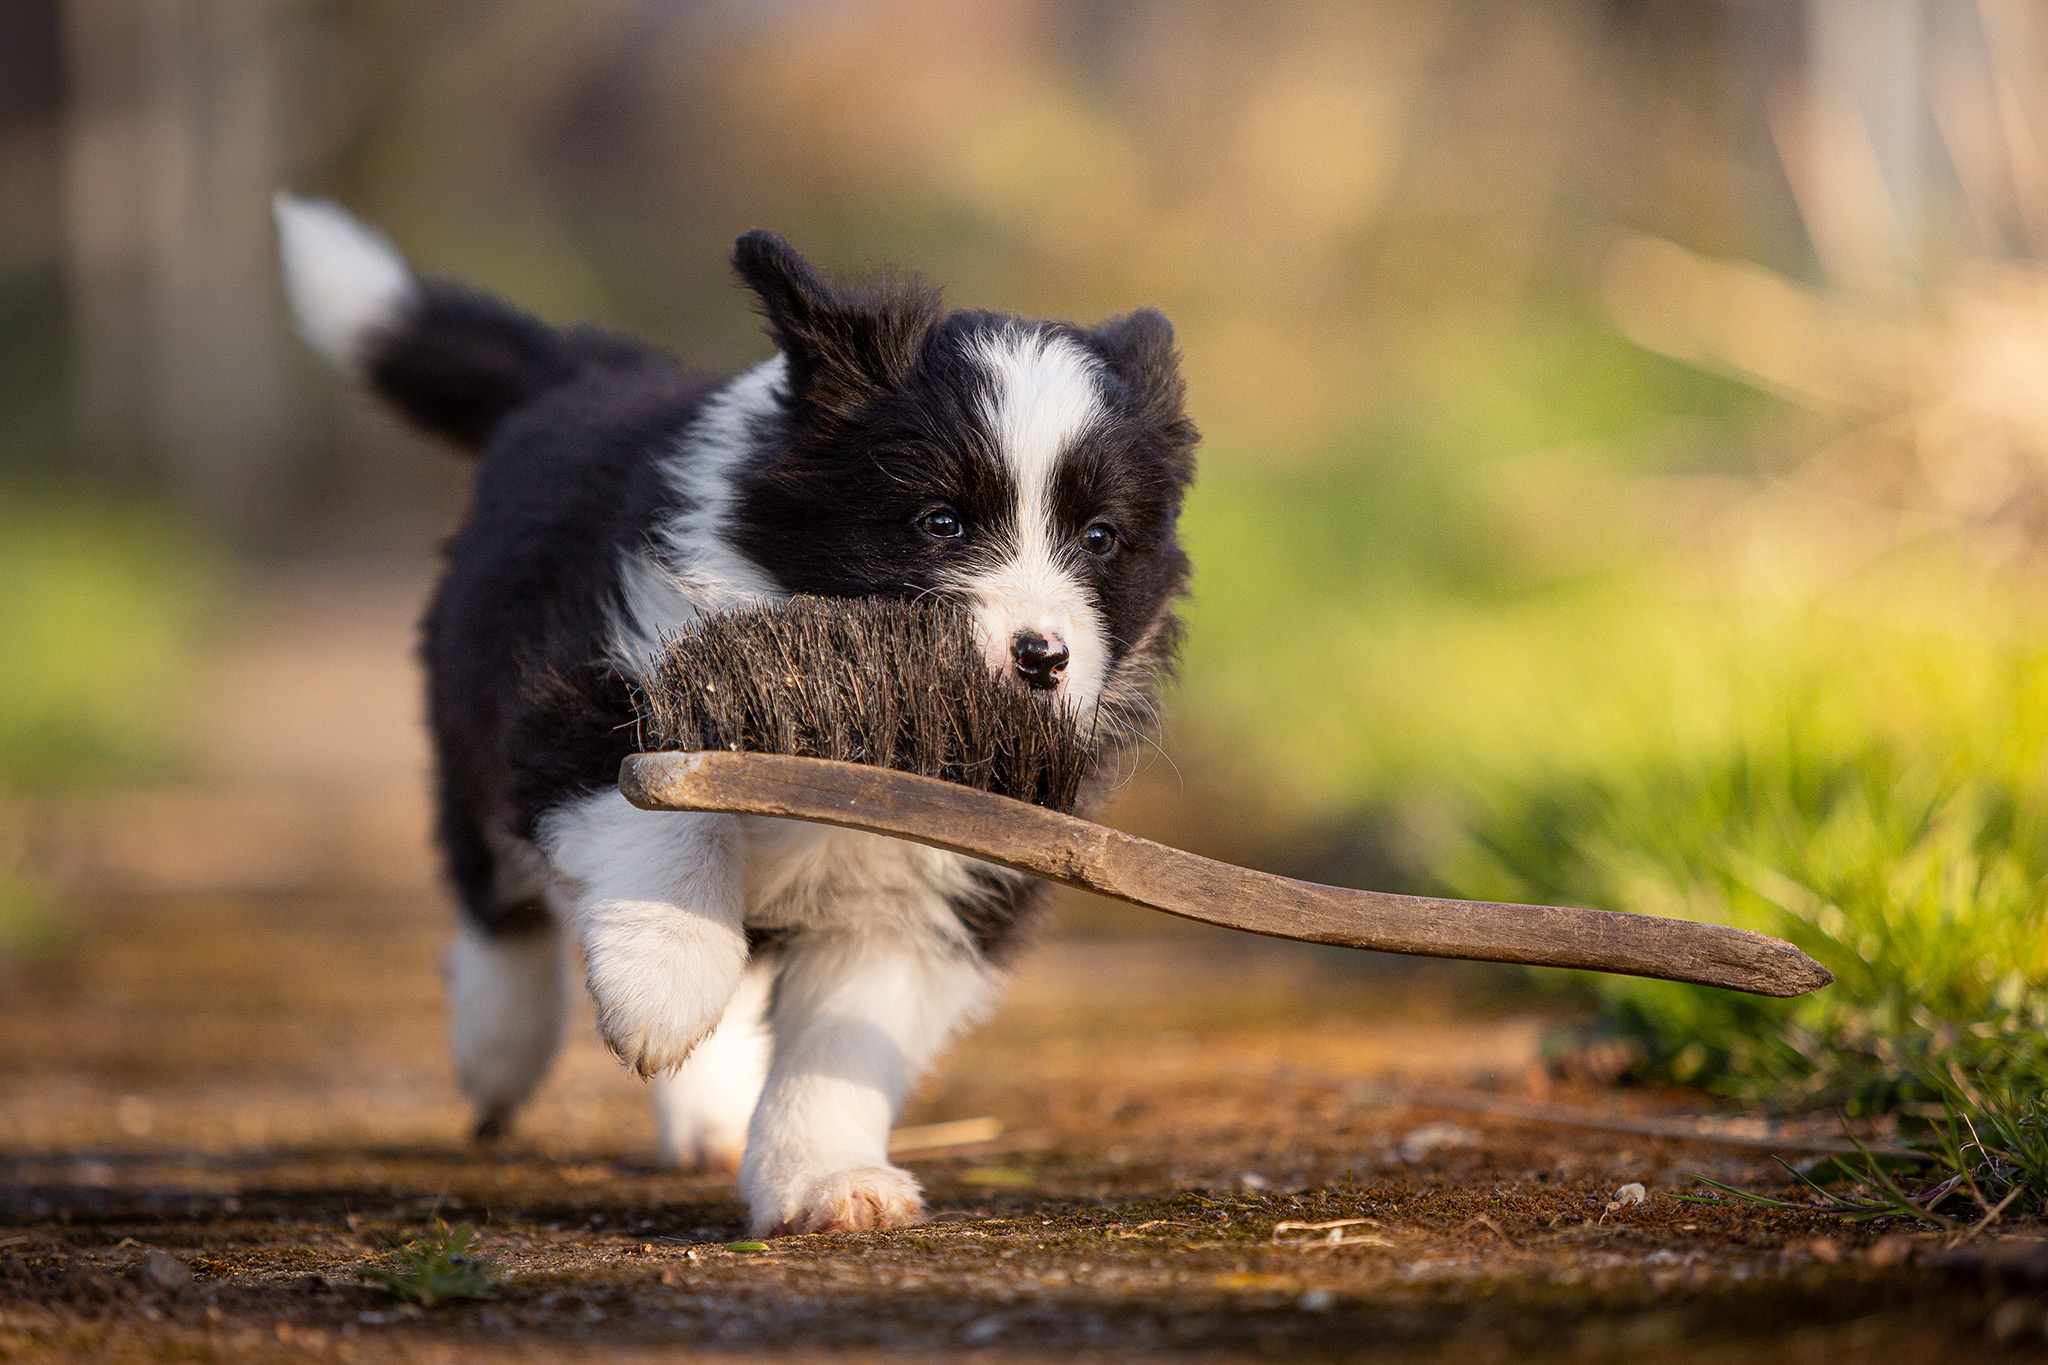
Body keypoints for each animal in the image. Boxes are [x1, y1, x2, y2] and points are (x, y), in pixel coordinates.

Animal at [274, 200, 1196, 1236]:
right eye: (940, 522)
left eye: (1101, 538)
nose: (1041, 659)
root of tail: (589, 367)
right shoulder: (594, 686)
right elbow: (660, 819)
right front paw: (661, 988)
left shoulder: (938, 870)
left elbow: (848, 1032)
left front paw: (826, 1178)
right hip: (465, 697)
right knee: (495, 890)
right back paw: (499, 1046)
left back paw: (708, 1114)